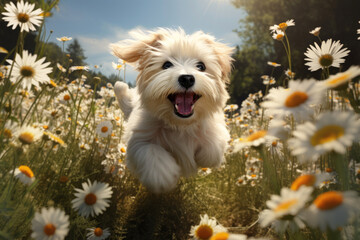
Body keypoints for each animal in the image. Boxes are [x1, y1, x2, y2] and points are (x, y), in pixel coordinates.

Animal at [110, 28, 233, 193]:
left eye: (201, 66)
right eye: (167, 65)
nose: (187, 78)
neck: (180, 124)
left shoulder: (213, 126)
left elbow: (213, 148)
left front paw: (205, 155)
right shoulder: (139, 138)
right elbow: (151, 151)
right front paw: (164, 176)